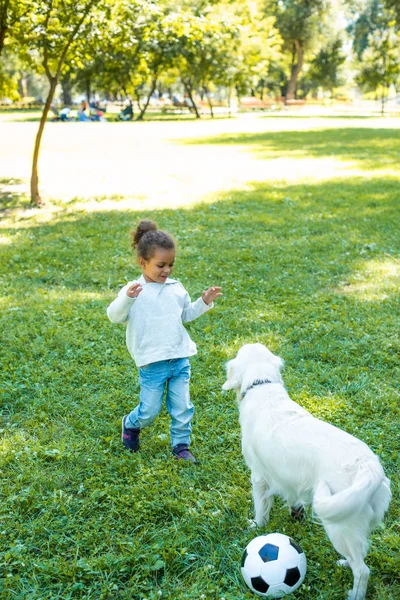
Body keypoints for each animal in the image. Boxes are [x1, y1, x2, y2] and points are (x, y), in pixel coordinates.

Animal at [223, 344, 392, 596]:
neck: (262, 384)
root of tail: (370, 467)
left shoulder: (259, 476)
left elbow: (261, 507)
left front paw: (257, 525)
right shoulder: (289, 479)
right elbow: (293, 497)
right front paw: (296, 511)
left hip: (340, 526)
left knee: (362, 570)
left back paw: (354, 594)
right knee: (358, 555)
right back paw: (345, 562)